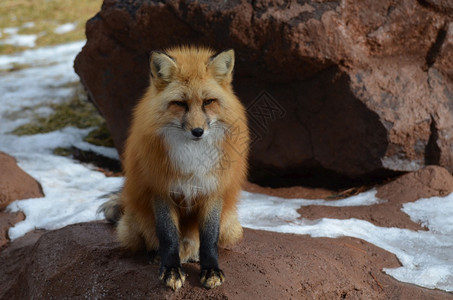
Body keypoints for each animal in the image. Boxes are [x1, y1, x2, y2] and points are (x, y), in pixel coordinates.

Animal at [99, 46, 249, 290]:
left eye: (208, 102)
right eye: (180, 103)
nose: (198, 132)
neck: (192, 156)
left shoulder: (212, 188)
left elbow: (209, 239)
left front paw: (210, 270)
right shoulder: (161, 188)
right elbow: (168, 236)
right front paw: (171, 269)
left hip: (231, 225)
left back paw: (193, 255)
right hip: (133, 222)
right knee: (150, 240)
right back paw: (156, 255)